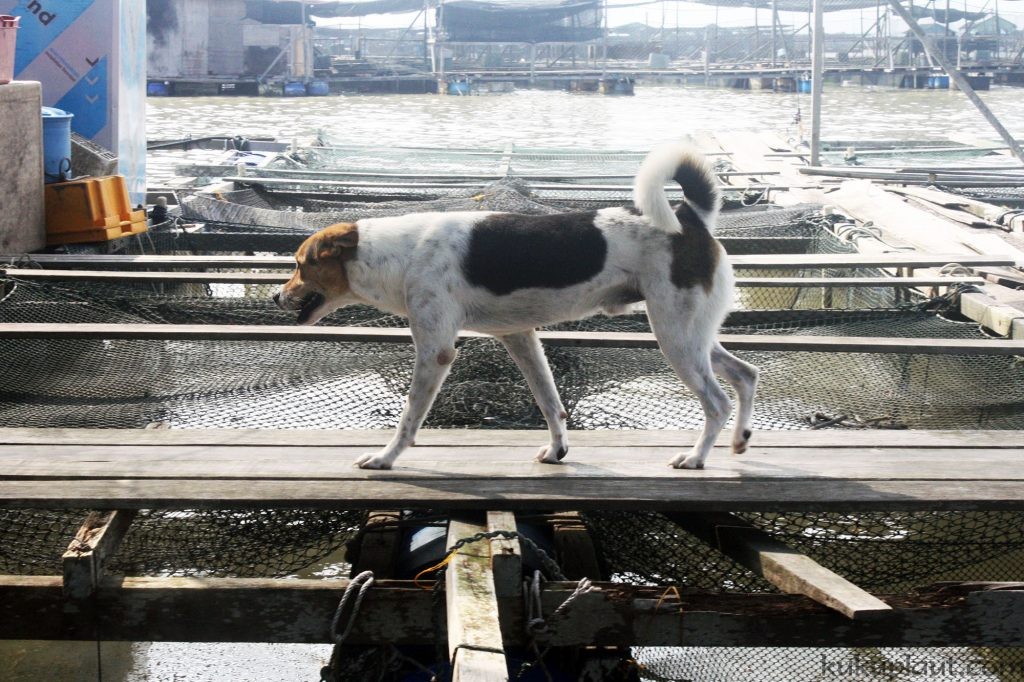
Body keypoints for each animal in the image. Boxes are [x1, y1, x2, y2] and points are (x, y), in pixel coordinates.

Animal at [276, 144, 757, 466]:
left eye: (299, 265)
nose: (276, 296)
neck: (400, 254)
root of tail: (689, 216)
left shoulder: (436, 351)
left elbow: (409, 416)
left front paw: (386, 458)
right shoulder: (520, 337)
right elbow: (549, 400)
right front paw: (558, 449)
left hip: (675, 335)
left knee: (717, 401)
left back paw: (696, 458)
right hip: (692, 333)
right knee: (745, 374)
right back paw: (739, 439)